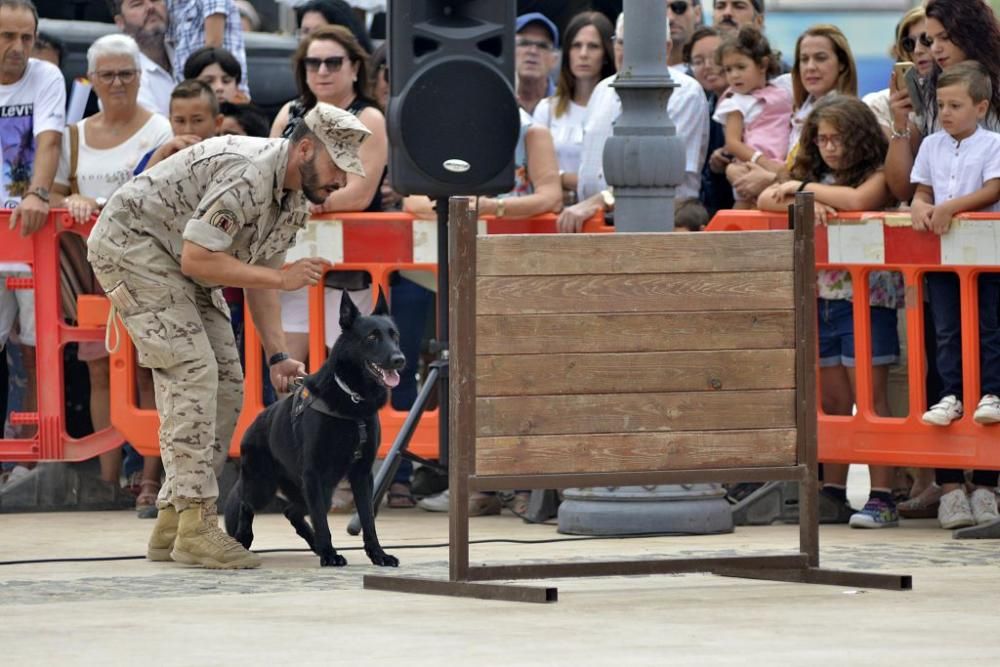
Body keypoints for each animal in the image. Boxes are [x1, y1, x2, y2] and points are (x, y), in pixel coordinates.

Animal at [225, 290, 404, 568]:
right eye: (372, 337)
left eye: (394, 335)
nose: (400, 359)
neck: (352, 399)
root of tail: (254, 423)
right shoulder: (313, 473)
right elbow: (322, 520)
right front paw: (330, 554)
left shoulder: (362, 475)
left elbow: (368, 521)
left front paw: (378, 554)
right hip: (263, 486)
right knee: (247, 503)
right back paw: (245, 538)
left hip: (320, 488)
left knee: (292, 512)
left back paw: (316, 545)